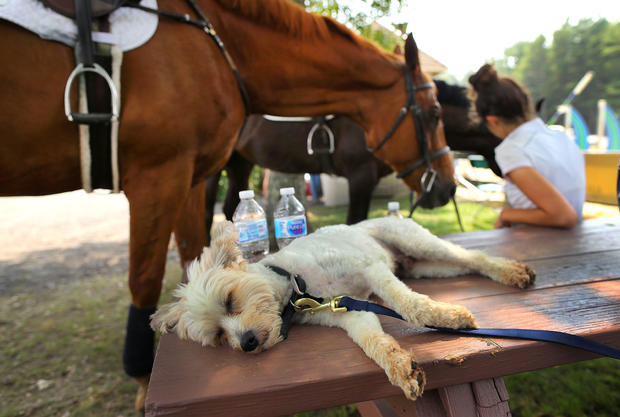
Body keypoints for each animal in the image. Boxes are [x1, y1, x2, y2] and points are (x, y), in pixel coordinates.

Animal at [150, 216, 532, 398]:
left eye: (230, 300)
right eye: (218, 335)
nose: (246, 344)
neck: (295, 284)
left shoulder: (370, 269)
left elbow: (408, 304)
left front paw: (445, 317)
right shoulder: (350, 313)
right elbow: (372, 343)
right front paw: (400, 369)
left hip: (417, 242)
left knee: (472, 256)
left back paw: (510, 272)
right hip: (424, 266)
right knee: (464, 264)